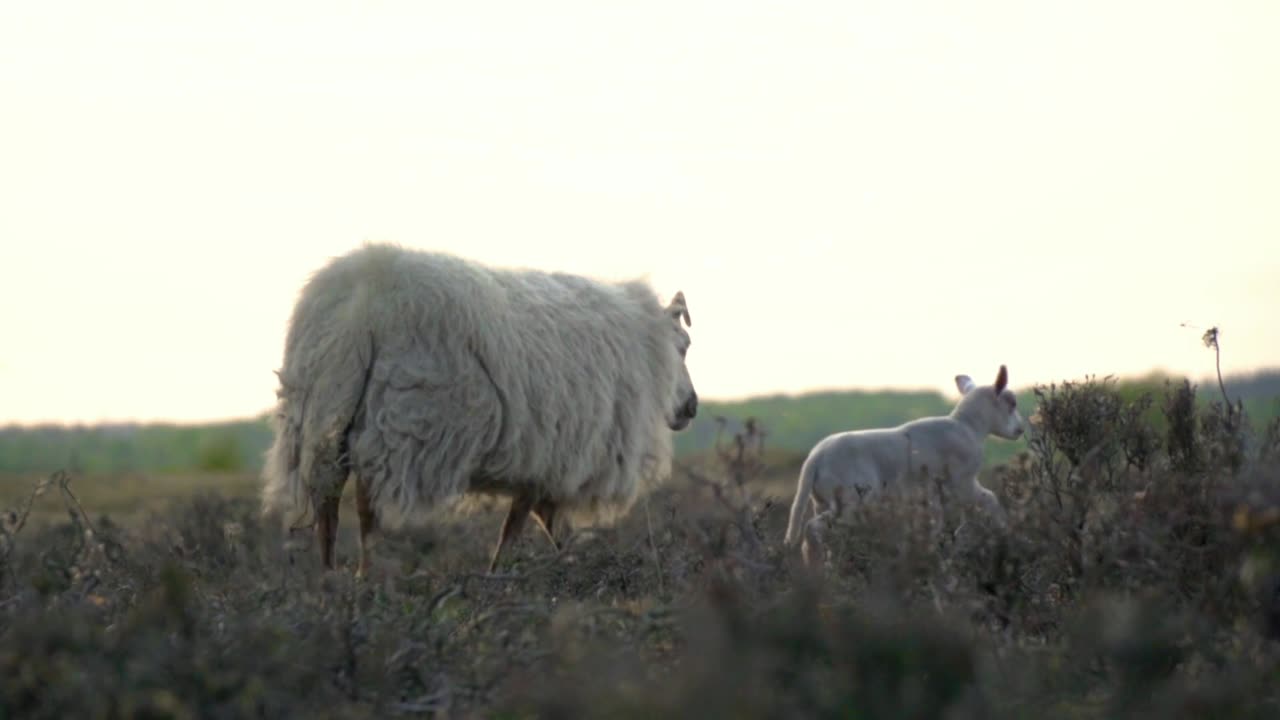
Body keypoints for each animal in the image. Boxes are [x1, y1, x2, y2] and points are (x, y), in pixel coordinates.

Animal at [259, 243, 701, 573]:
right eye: (683, 346)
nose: (692, 407)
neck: (647, 347)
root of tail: (364, 292)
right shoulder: (550, 454)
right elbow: (525, 524)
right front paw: (523, 571)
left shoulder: (540, 458)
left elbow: (535, 520)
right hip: (399, 420)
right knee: (366, 509)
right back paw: (365, 578)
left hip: (323, 413)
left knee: (329, 507)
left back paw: (330, 578)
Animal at [778, 363, 1018, 566]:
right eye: (1012, 404)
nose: (1021, 429)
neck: (968, 426)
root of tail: (815, 458)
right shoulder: (963, 483)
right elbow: (989, 499)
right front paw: (1003, 528)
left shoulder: (932, 498)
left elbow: (939, 524)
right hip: (850, 501)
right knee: (813, 529)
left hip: (823, 501)